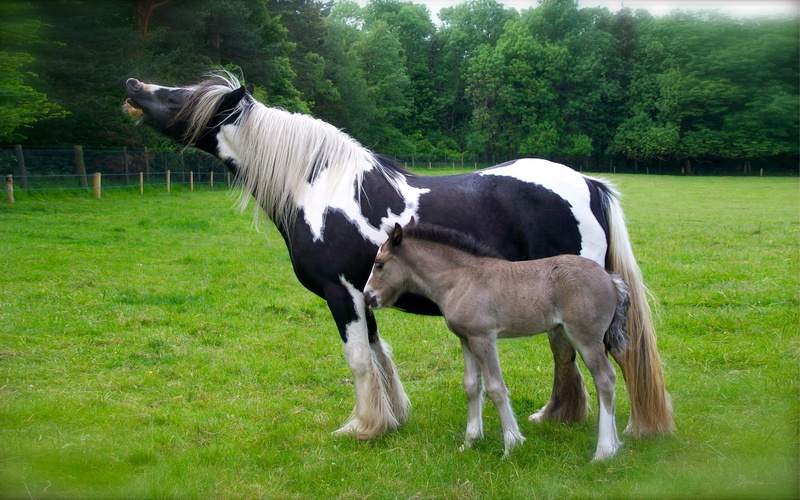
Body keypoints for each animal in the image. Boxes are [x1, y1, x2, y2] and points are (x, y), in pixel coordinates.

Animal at [363, 221, 631, 459]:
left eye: (379, 264)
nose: (367, 297)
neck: (460, 280)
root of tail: (610, 278)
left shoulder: (483, 338)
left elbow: (495, 387)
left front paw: (512, 443)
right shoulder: (466, 339)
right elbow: (472, 385)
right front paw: (470, 441)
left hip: (586, 339)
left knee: (605, 379)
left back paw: (604, 450)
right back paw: (615, 444)